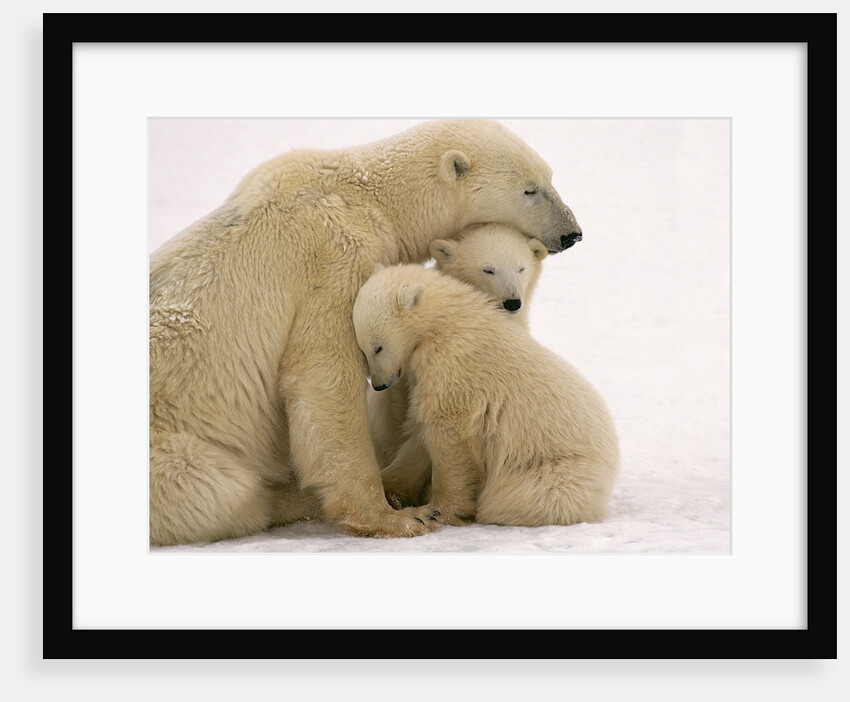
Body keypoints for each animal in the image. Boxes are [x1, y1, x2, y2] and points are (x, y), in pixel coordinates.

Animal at [352, 263, 619, 528]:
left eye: (378, 347)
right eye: (363, 349)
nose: (379, 385)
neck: (446, 322)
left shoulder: (454, 367)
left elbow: (449, 435)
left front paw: (440, 510)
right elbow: (421, 431)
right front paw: (390, 487)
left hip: (557, 469)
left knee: (518, 497)